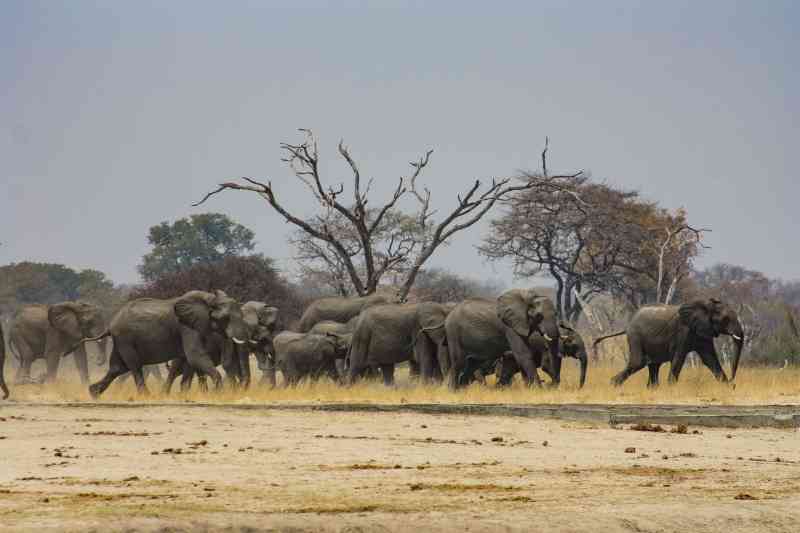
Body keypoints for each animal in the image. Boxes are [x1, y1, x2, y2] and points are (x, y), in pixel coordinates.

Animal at [87, 290, 251, 397]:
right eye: (225, 318)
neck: (209, 298)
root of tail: (110, 324)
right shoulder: (185, 326)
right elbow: (194, 355)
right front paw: (218, 393)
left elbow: (190, 360)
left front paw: (185, 395)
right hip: (125, 339)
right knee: (134, 365)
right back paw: (146, 396)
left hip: (120, 340)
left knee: (117, 367)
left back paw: (93, 393)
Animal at [593, 298, 744, 387]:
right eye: (726, 319)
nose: (733, 382)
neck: (705, 304)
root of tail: (628, 324)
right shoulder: (684, 330)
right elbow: (679, 358)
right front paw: (671, 388)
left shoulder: (703, 330)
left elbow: (710, 359)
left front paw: (727, 387)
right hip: (636, 336)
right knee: (638, 362)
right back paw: (613, 384)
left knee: (653, 365)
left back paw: (652, 389)